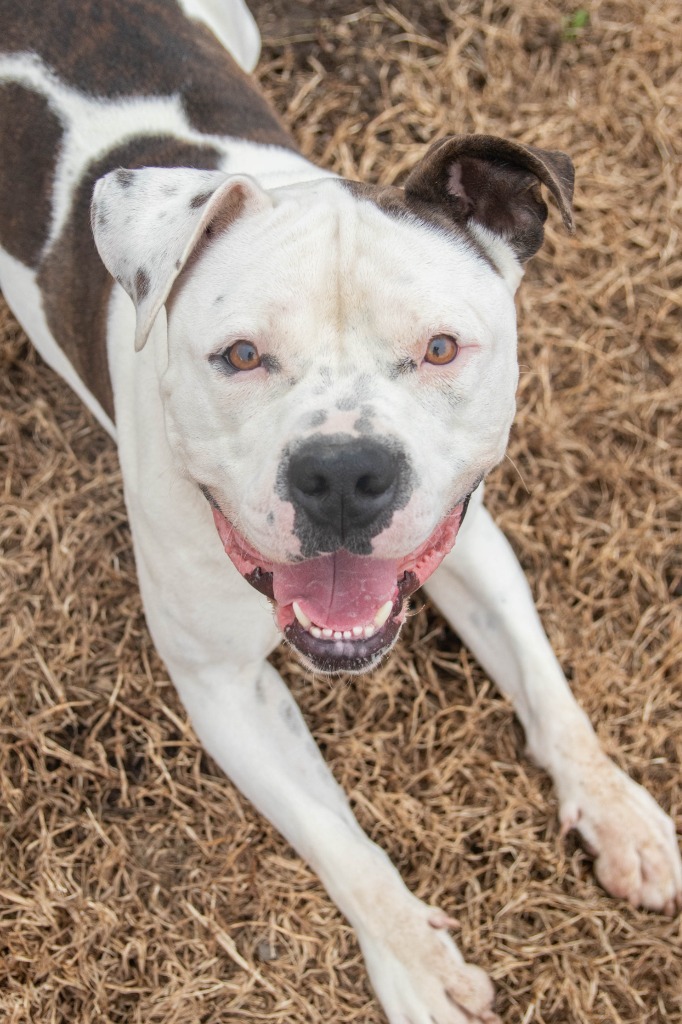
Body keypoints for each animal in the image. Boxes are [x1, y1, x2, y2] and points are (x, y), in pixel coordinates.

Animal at [0, 0, 675, 1019]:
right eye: (241, 356)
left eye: (441, 348)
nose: (346, 472)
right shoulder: (222, 688)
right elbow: (341, 844)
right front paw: (419, 964)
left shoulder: (467, 539)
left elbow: (547, 686)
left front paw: (617, 810)